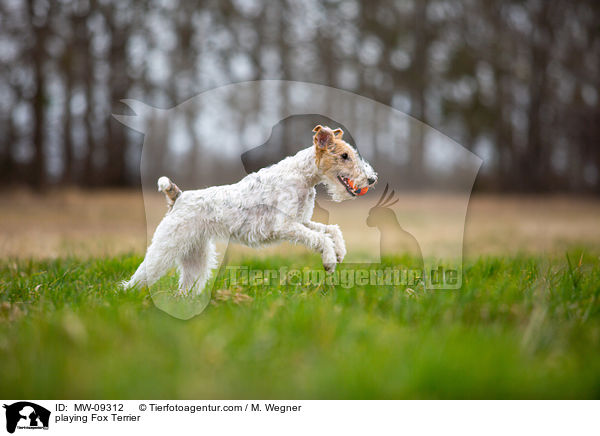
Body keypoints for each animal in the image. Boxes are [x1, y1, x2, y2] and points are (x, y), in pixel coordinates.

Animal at [123, 124, 378, 294]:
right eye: (344, 155)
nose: (372, 179)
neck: (303, 176)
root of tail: (179, 196)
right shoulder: (285, 225)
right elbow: (320, 238)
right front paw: (329, 261)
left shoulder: (301, 221)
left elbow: (331, 229)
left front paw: (340, 252)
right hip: (165, 248)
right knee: (139, 277)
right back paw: (128, 296)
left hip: (196, 256)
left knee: (186, 287)